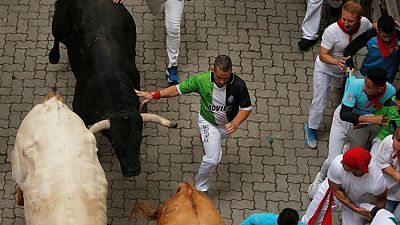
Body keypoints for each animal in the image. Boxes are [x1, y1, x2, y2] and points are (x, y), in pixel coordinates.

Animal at [48, 0, 177, 178]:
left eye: (139, 140)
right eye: (116, 143)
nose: (132, 171)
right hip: (59, 24)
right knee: (56, 36)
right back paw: (53, 56)